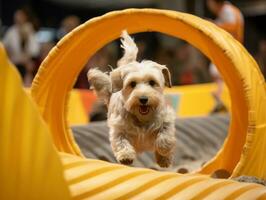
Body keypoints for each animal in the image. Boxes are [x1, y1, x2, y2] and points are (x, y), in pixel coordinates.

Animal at [87, 30, 178, 167]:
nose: (143, 99)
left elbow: (165, 134)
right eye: (132, 83)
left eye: (152, 82)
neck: (142, 119)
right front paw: (126, 156)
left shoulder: (166, 118)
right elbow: (121, 141)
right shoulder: (118, 128)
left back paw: (163, 160)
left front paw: (164, 149)